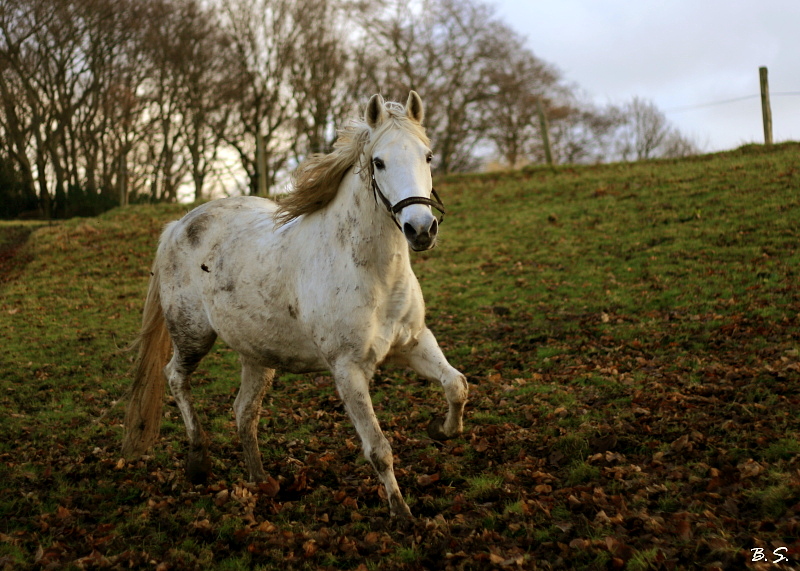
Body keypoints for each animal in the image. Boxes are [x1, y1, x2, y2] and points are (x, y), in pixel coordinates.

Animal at [121, 92, 466, 520]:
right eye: (378, 162)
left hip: (257, 354)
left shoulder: (414, 343)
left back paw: (262, 481)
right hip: (192, 335)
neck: (375, 274)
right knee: (175, 377)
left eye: (428, 156)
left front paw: (440, 430)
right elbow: (379, 449)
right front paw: (402, 514)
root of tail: (177, 227)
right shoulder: (348, 369)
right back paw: (199, 461)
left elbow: (456, 386)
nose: (420, 229)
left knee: (243, 411)